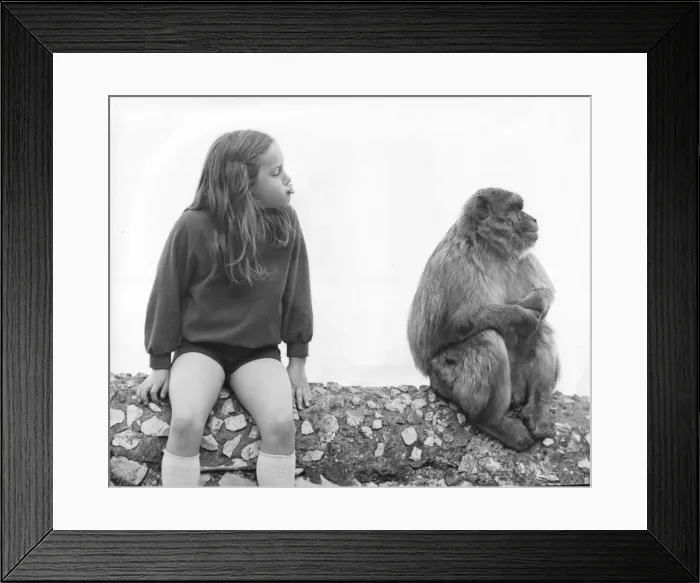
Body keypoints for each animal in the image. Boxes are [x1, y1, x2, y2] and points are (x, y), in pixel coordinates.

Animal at [407, 187, 560, 451]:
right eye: (517, 209)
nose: (533, 219)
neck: (490, 250)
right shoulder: (457, 263)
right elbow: (456, 322)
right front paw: (520, 314)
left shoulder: (522, 257)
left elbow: (544, 293)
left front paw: (533, 305)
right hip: (445, 376)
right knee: (488, 340)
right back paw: (492, 422)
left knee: (543, 329)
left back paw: (537, 409)